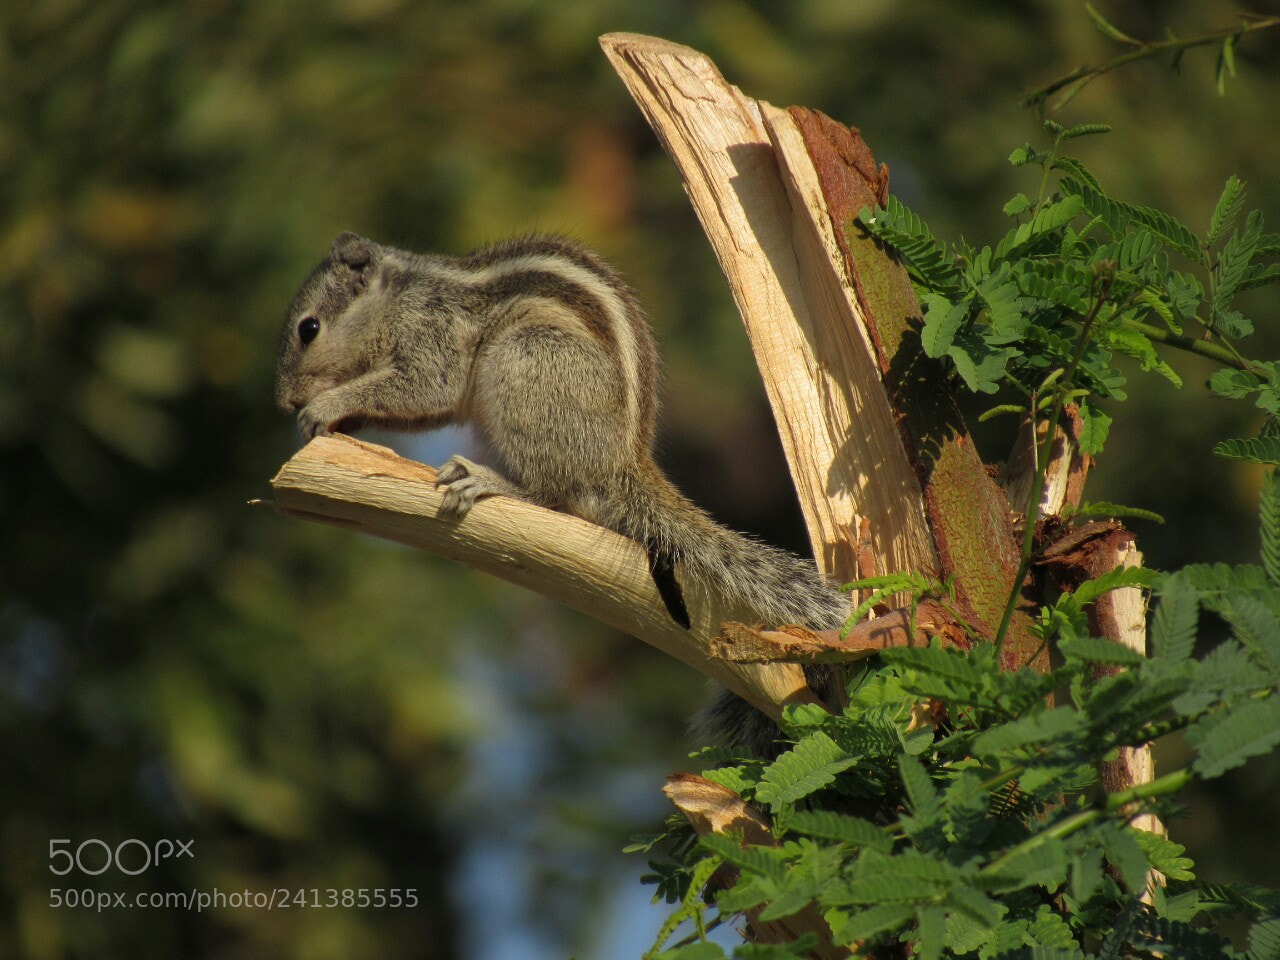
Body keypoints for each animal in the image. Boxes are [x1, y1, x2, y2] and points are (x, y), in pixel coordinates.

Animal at [275, 232, 850, 754]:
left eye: (309, 329)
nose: (283, 401)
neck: (397, 298)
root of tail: (620, 464)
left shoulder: (431, 339)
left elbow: (424, 388)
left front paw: (326, 406)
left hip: (526, 363)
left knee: (551, 495)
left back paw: (489, 481)